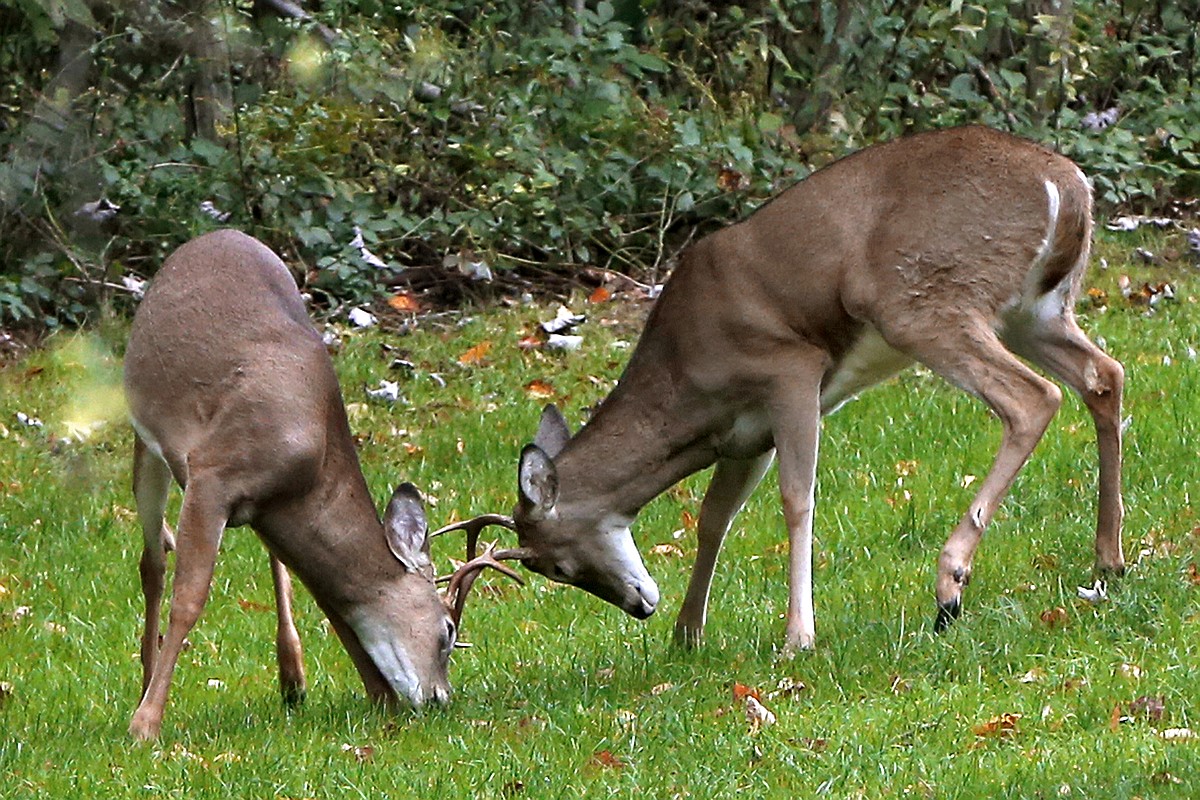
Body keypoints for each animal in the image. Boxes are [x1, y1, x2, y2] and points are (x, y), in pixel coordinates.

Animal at [122, 229, 523, 740]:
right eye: (448, 631)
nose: (439, 697)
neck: (312, 451)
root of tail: (211, 236)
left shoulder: (275, 507)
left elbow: (331, 599)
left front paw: (380, 696)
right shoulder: (213, 475)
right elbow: (188, 600)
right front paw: (146, 724)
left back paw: (292, 677)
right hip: (147, 436)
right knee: (151, 562)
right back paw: (147, 682)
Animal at [438, 126, 1126, 654]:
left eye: (555, 564)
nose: (641, 607)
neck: (688, 380)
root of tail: (1068, 186)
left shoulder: (790, 369)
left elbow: (797, 500)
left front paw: (798, 636)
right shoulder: (745, 436)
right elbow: (714, 518)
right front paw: (687, 635)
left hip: (924, 300)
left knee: (1033, 398)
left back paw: (950, 585)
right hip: (1034, 311)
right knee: (1104, 375)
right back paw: (1108, 561)